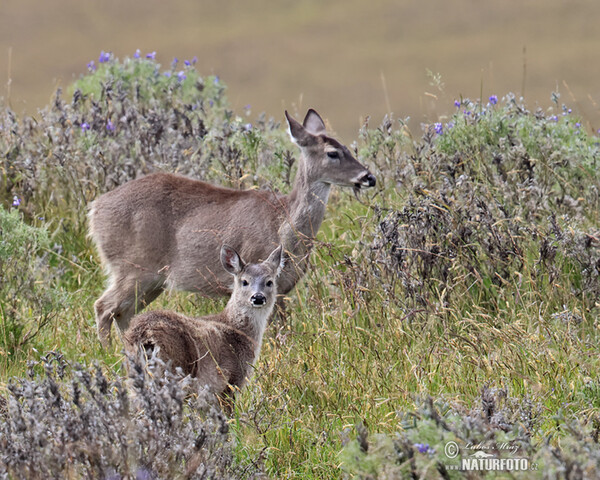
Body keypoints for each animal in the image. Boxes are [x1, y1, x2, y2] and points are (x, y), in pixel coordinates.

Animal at [89, 109, 376, 342]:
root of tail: (94, 209)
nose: (369, 177)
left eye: (349, 148)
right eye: (332, 153)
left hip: (152, 280)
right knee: (104, 307)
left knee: (123, 312)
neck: (283, 226)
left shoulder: (281, 288)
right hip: (133, 267)